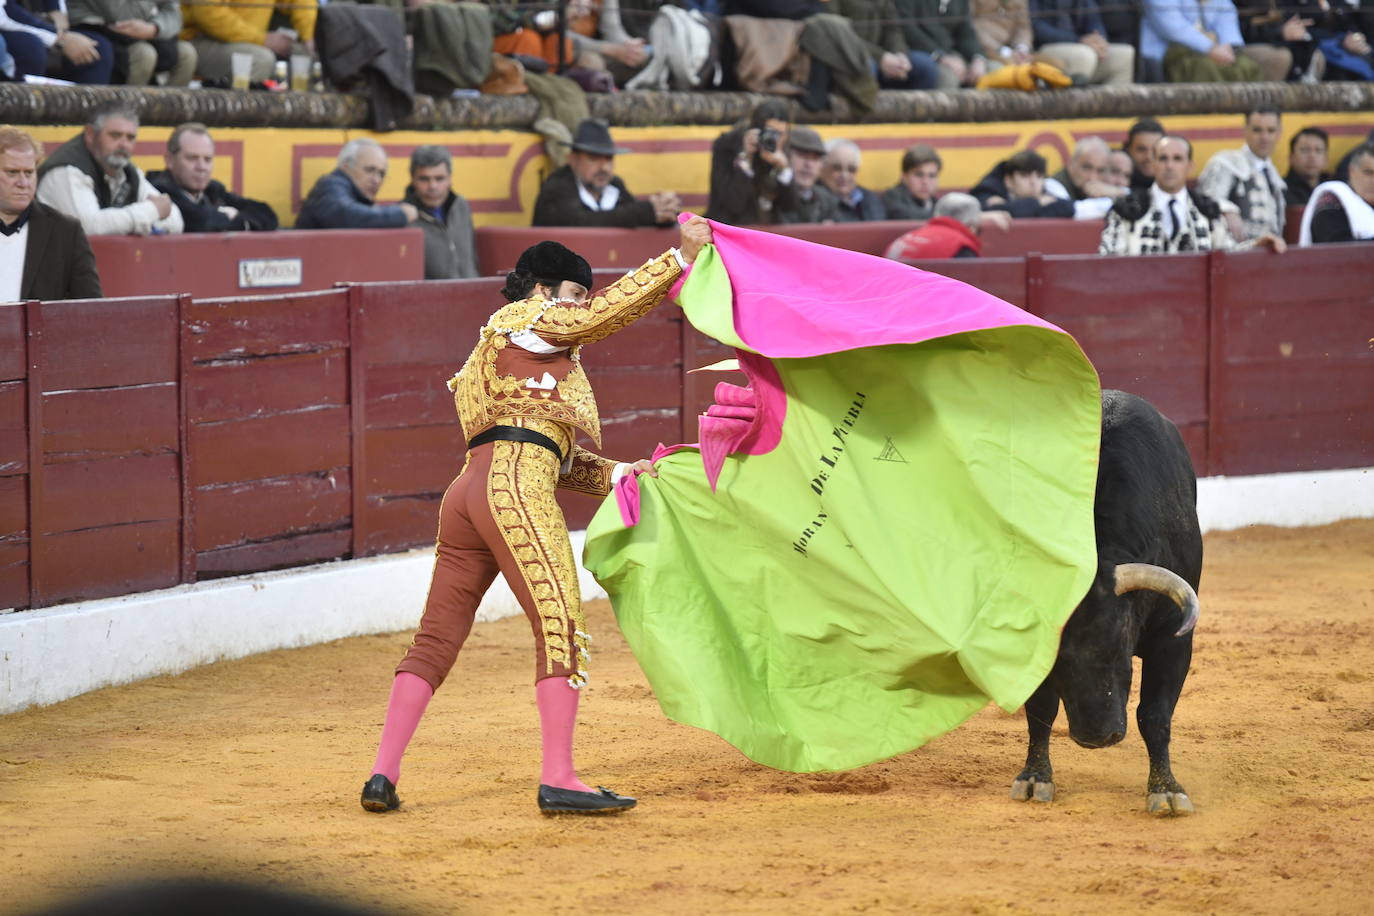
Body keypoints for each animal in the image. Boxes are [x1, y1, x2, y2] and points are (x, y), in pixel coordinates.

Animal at [1011, 387, 1203, 818]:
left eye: (1120, 651)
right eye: (1057, 662)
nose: (1097, 737)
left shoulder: (1174, 639)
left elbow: (1155, 714)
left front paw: (1166, 790)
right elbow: (1040, 708)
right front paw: (1035, 778)